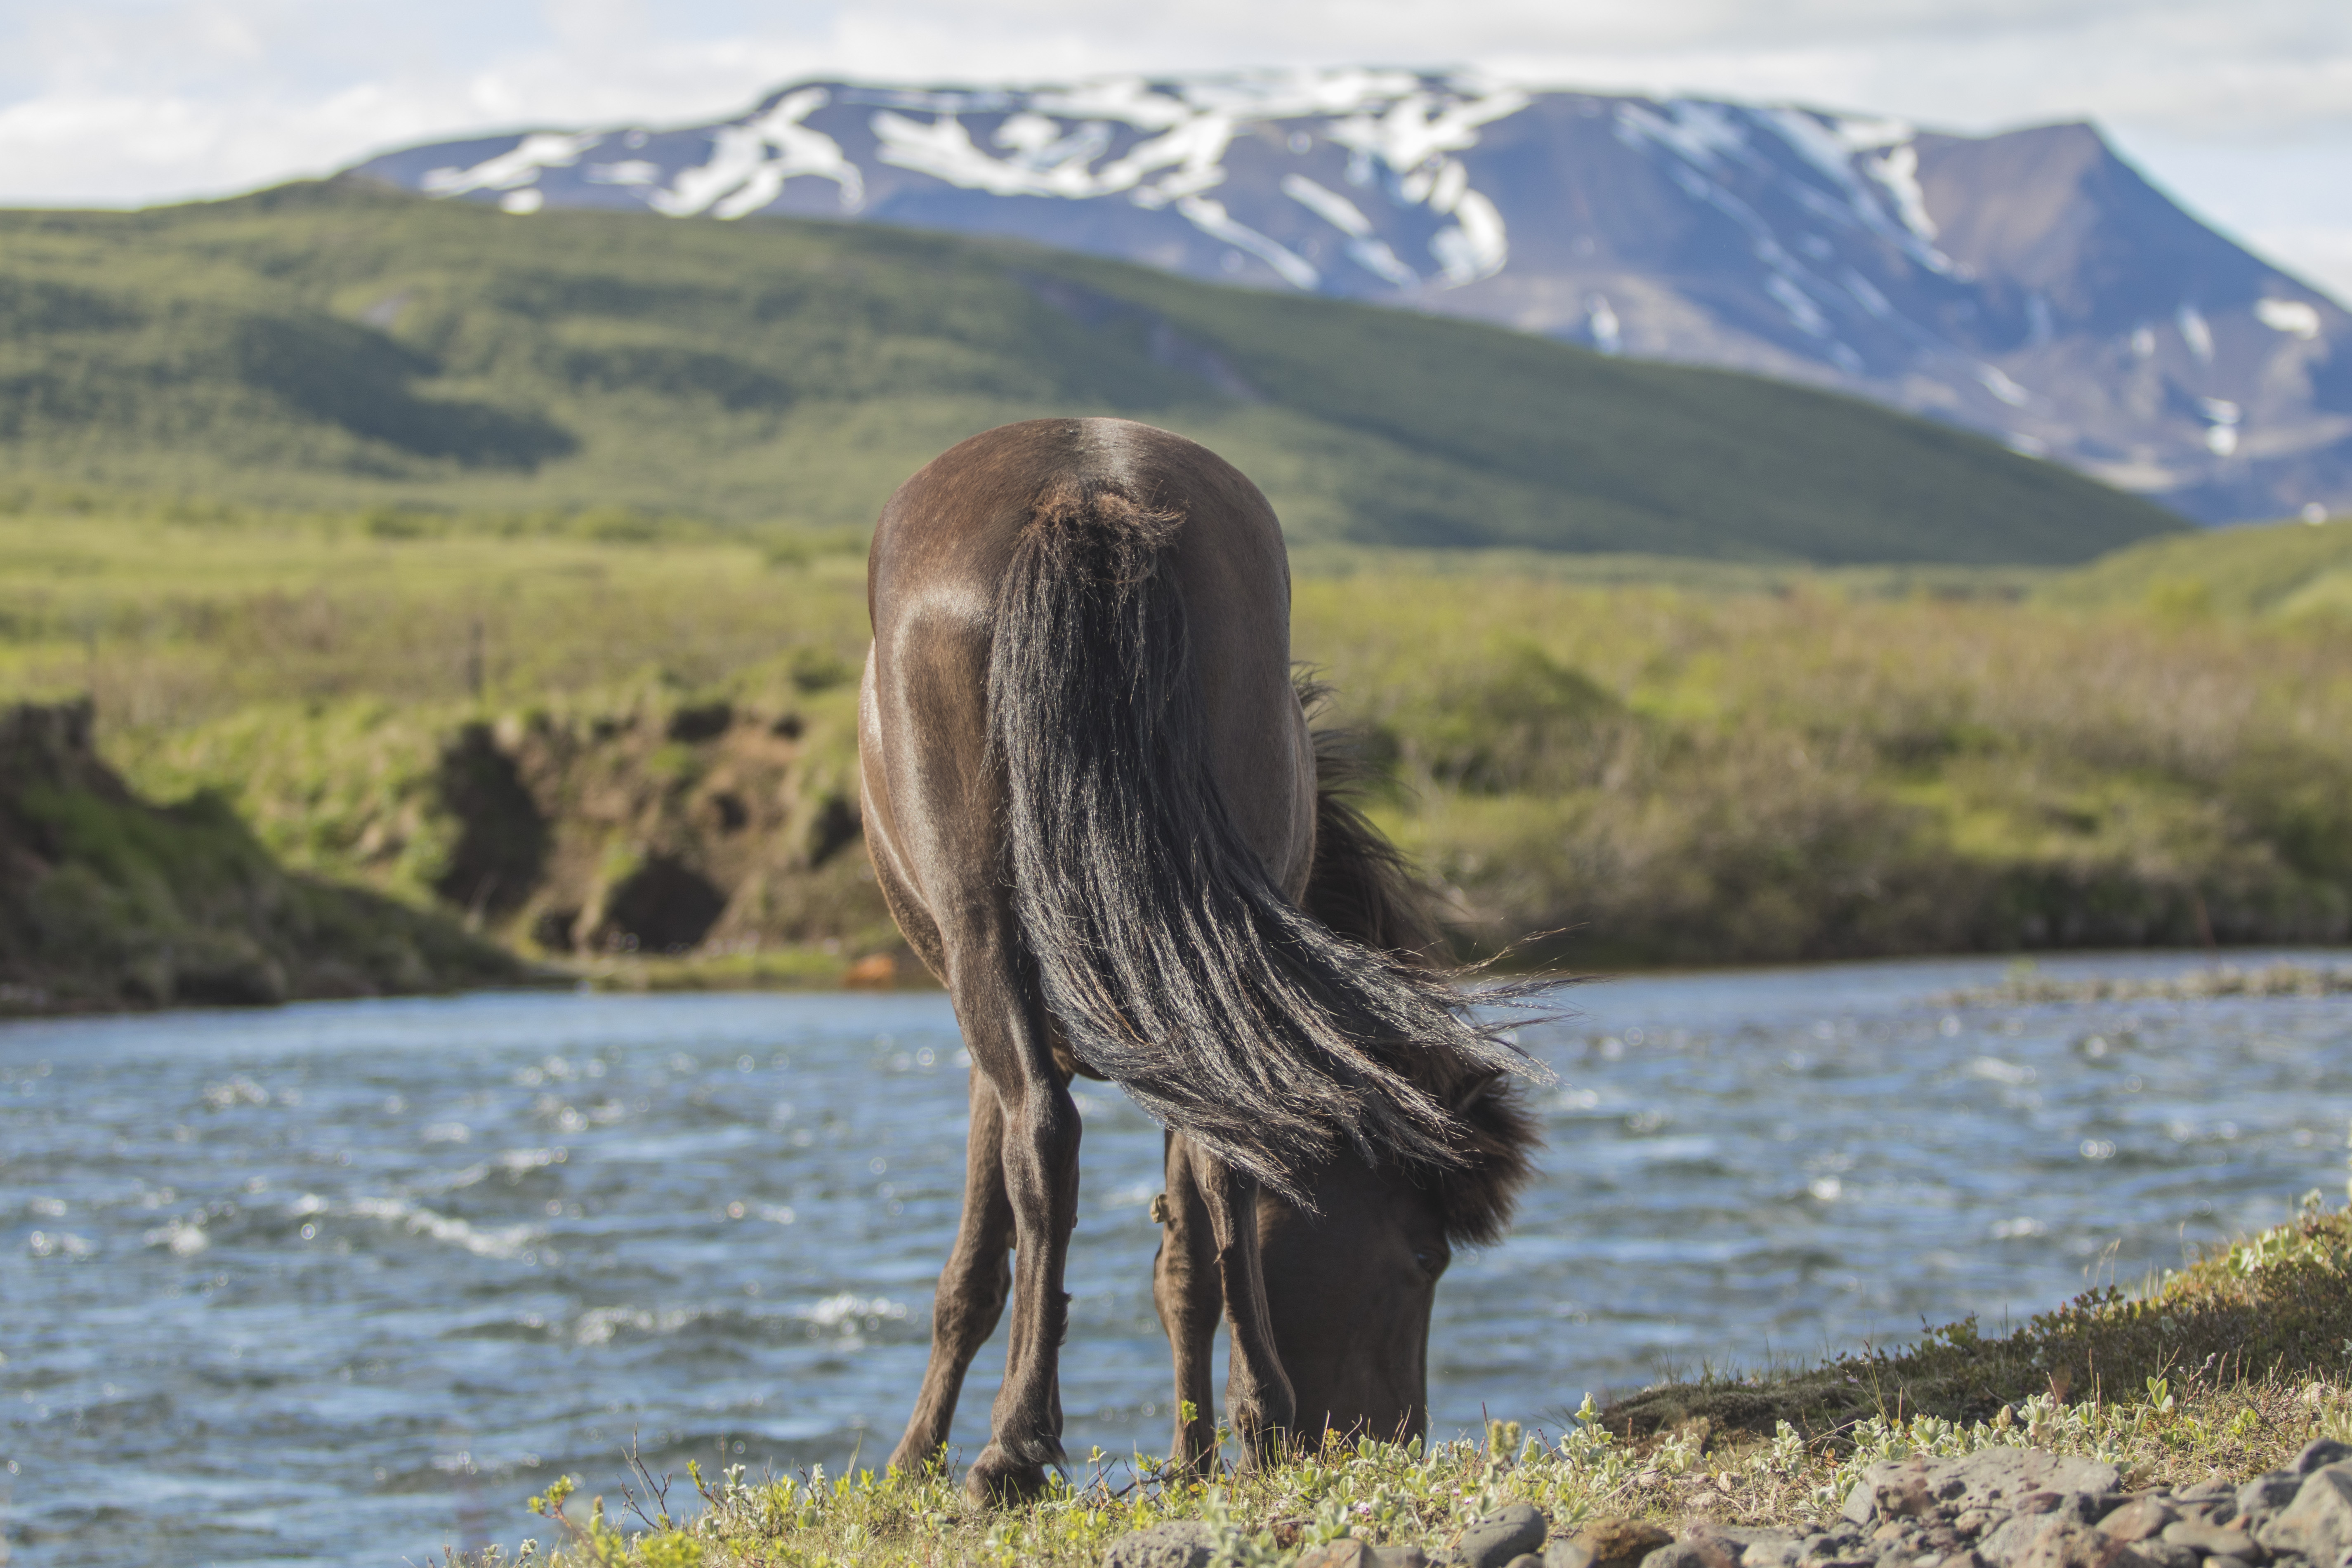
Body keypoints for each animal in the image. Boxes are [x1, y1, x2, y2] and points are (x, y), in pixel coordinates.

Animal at [857, 417, 1538, 1501]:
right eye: (1426, 1256)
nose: (1397, 1437)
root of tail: (1086, 491)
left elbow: (983, 1259)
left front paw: (915, 1456)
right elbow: (1181, 1256)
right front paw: (1196, 1454)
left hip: (984, 947)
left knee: (1047, 1141)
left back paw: (1014, 1449)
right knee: (1219, 1167)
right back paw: (1257, 1423)